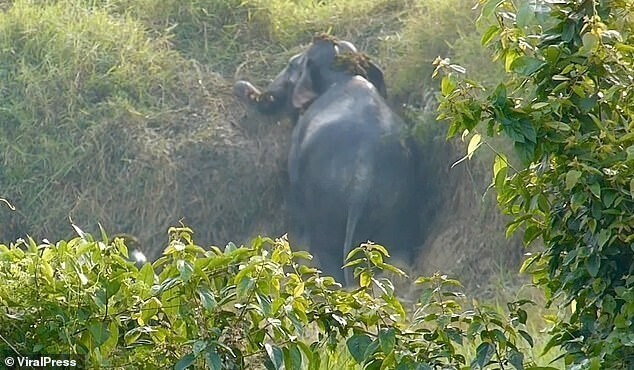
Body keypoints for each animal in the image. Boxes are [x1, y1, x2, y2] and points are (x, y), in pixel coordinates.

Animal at [233, 34, 420, 286]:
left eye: (291, 65)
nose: (239, 84)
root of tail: (362, 181)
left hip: (326, 208)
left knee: (325, 250)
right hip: (396, 206)